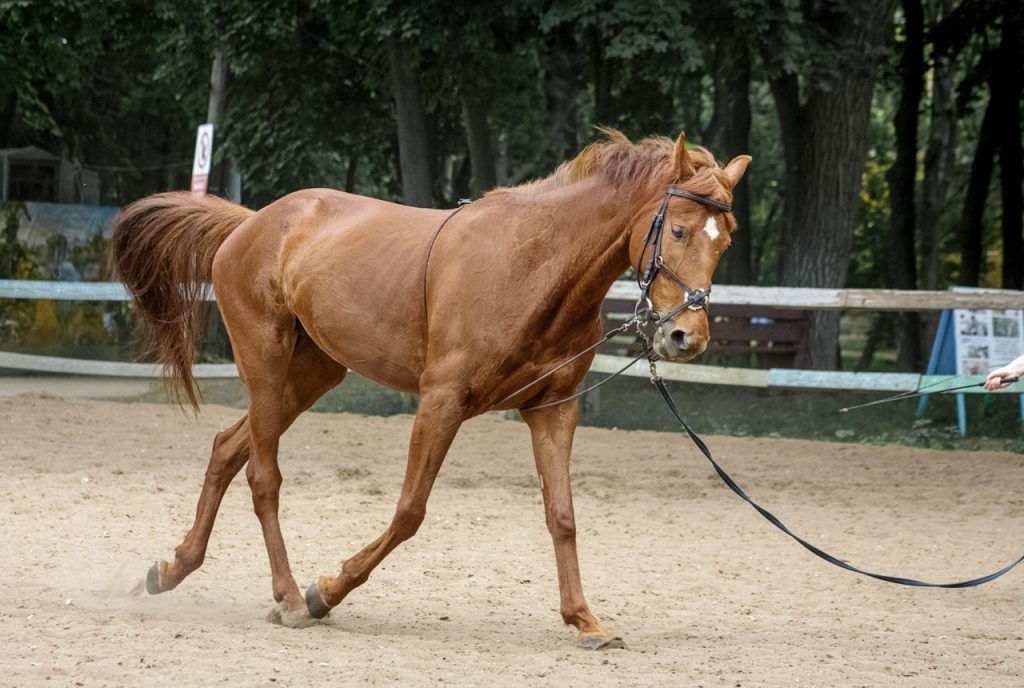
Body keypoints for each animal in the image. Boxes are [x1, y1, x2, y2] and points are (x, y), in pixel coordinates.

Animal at [112, 130, 749, 651]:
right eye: (678, 229)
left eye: (726, 241)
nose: (686, 337)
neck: (533, 265)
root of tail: (252, 222)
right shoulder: (442, 402)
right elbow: (409, 511)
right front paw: (327, 590)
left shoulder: (552, 410)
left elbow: (562, 515)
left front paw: (585, 620)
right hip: (266, 367)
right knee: (262, 476)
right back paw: (291, 597)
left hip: (311, 375)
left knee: (226, 448)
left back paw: (172, 569)